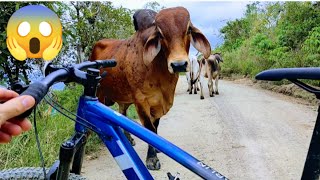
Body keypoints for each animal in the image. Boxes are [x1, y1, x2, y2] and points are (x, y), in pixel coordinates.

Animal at [90, 7, 211, 169]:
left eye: (188, 30)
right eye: (160, 34)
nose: (178, 65)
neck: (159, 71)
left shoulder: (159, 102)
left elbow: (155, 126)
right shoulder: (141, 101)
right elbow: (149, 128)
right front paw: (152, 158)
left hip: (124, 96)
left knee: (122, 112)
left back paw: (129, 139)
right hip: (100, 93)